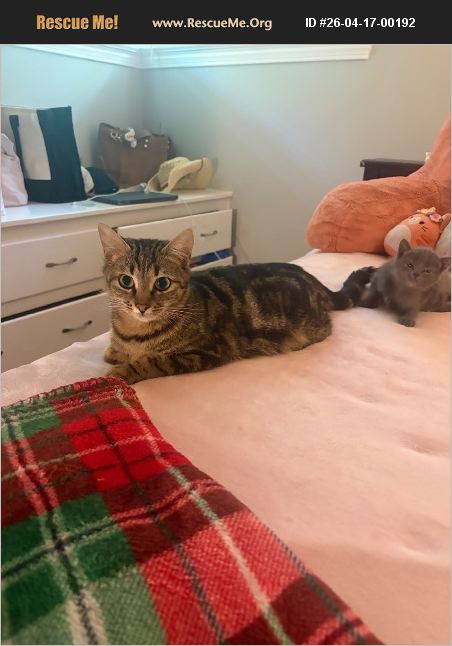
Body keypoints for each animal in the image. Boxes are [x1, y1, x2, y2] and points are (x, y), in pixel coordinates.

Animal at [98, 223, 375, 384]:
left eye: (162, 283)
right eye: (126, 281)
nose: (141, 306)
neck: (135, 332)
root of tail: (313, 279)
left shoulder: (206, 352)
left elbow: (154, 361)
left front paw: (123, 371)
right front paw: (115, 352)